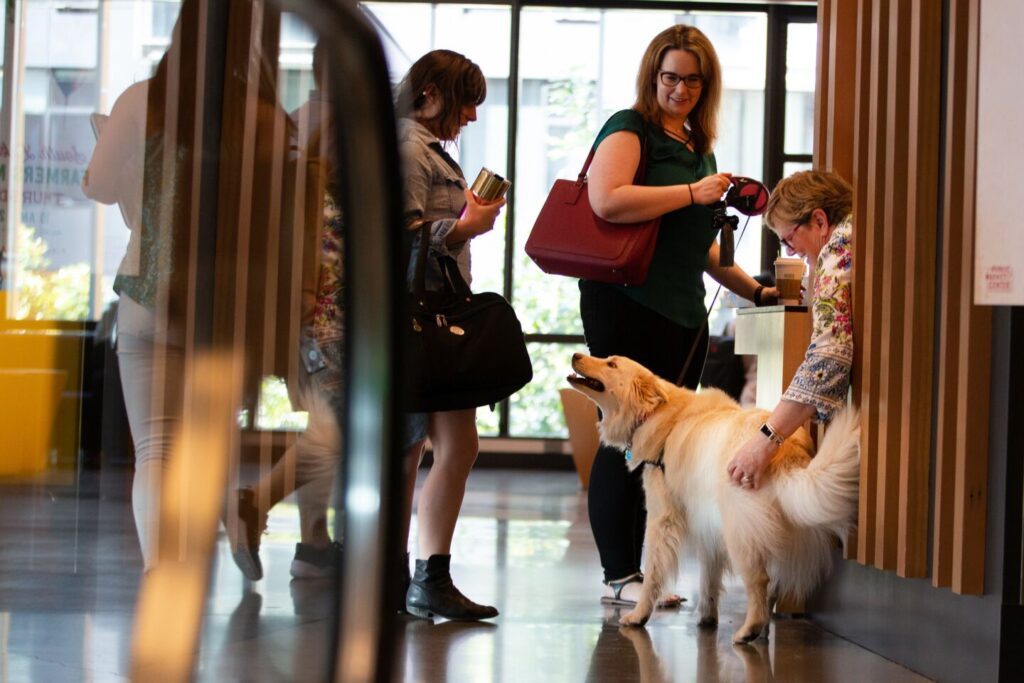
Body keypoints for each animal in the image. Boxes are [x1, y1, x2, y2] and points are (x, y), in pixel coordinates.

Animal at [573, 356, 860, 643]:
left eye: (611, 364)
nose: (575, 355)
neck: (660, 414)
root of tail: (787, 451)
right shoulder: (706, 526)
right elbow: (708, 578)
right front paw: (707, 617)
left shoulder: (661, 519)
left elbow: (653, 573)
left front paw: (639, 615)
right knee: (772, 587)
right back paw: (762, 629)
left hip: (739, 533)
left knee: (759, 581)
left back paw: (749, 630)